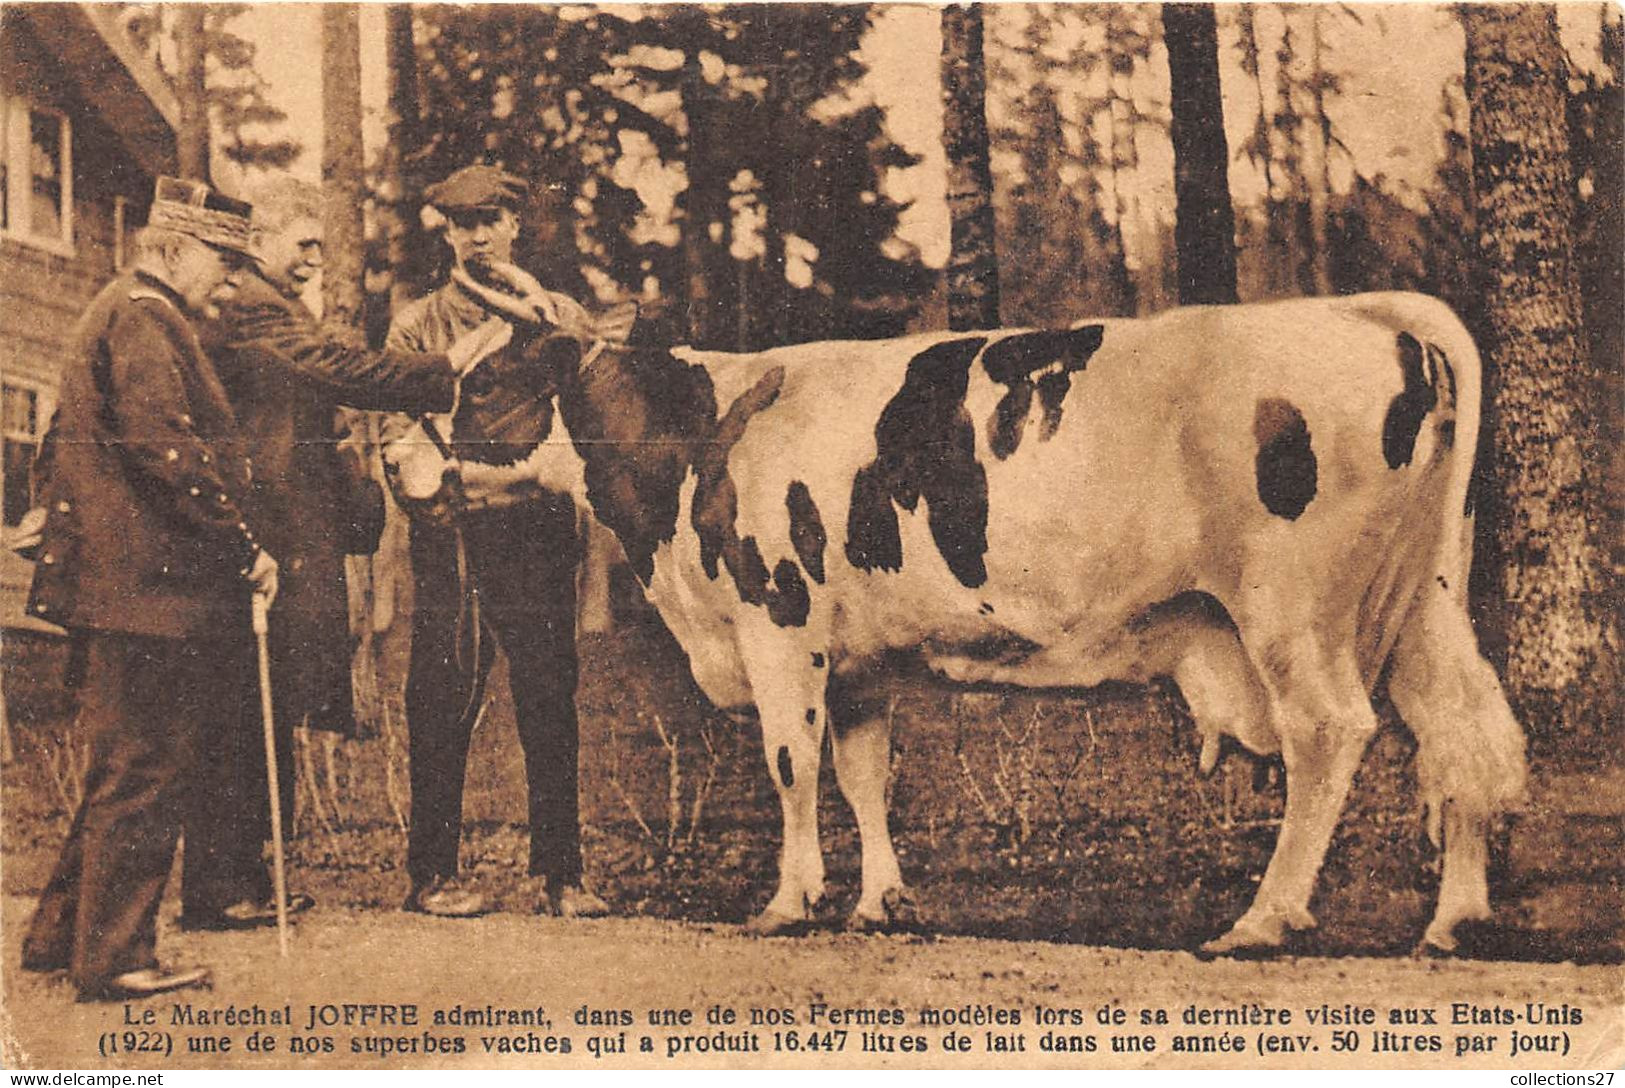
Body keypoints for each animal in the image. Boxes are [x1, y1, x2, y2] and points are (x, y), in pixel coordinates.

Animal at [455, 285, 1521, 961]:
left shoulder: (779, 621)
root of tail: (1365, 311)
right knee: (1460, 732)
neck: (701, 438)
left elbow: (791, 765)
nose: (415, 462)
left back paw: (1262, 919)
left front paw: (789, 902)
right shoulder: (860, 659)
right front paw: (879, 903)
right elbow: (863, 773)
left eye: (482, 385)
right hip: (1422, 600)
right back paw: (1453, 921)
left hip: (1293, 609)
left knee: (1329, 733)